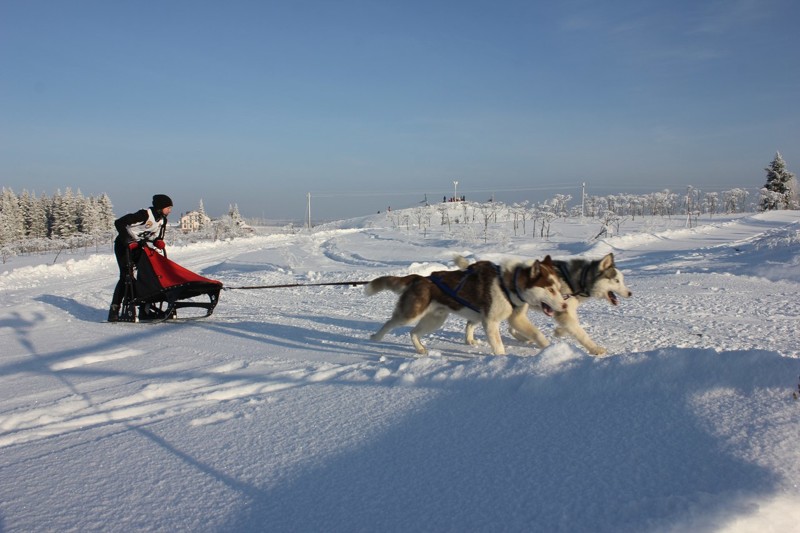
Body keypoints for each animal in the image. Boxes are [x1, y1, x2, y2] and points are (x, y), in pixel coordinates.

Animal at [366, 256, 564, 356]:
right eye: (550, 289)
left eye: (558, 287)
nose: (564, 305)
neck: (507, 285)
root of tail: (420, 278)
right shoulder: (490, 322)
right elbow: (498, 346)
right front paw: (502, 361)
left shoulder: (517, 318)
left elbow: (537, 334)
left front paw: (550, 349)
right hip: (411, 315)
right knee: (391, 323)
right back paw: (376, 337)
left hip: (435, 320)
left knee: (413, 332)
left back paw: (420, 348)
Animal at [460, 252, 636, 356]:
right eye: (616, 281)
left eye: (622, 280)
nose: (630, 293)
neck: (576, 279)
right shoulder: (563, 310)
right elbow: (580, 332)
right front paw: (594, 348)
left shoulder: (565, 309)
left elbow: (572, 326)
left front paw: (558, 332)